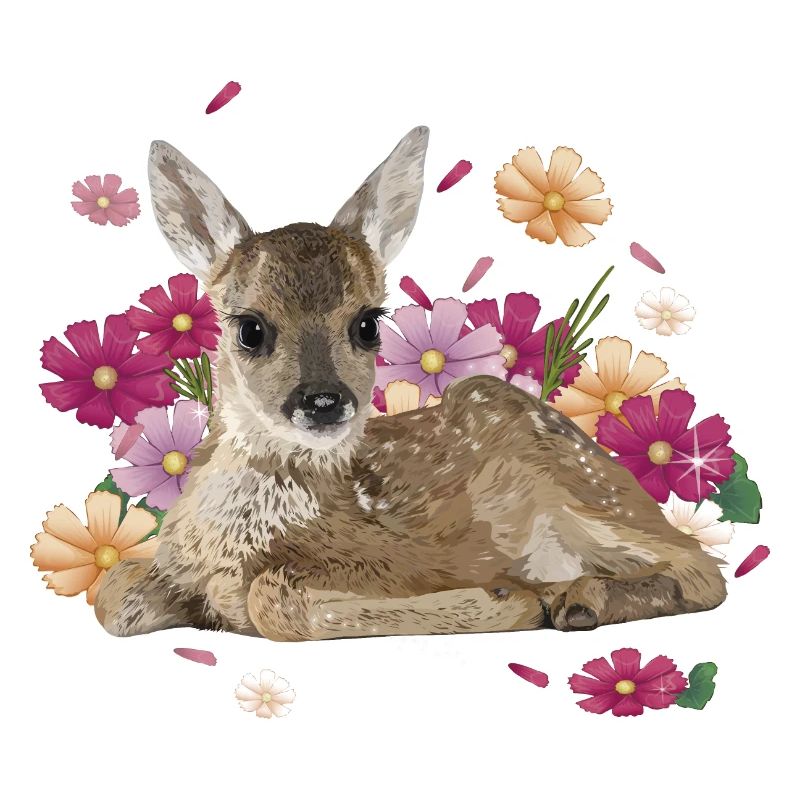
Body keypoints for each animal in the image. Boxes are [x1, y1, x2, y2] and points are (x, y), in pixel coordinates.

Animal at [94, 127, 727, 640]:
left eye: (368, 323)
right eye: (250, 327)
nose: (324, 401)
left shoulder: (408, 559)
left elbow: (273, 600)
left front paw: (510, 599)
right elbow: (112, 594)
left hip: (578, 481)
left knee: (702, 569)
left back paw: (575, 599)